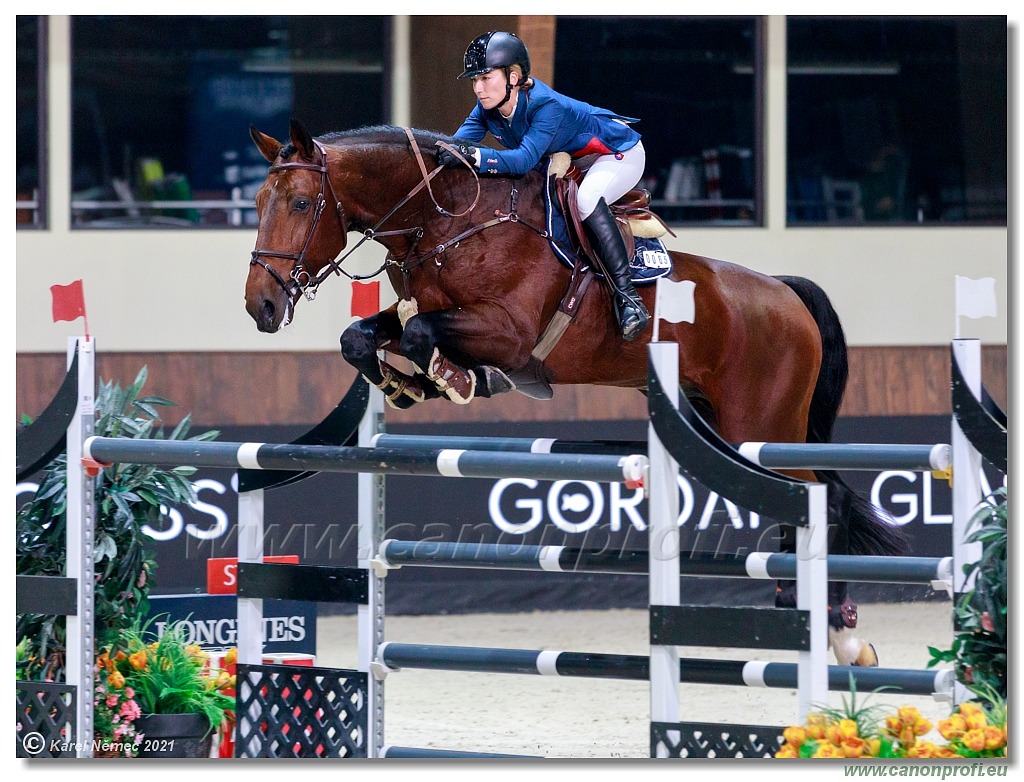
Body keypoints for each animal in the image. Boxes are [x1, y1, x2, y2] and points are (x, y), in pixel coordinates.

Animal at [245, 117, 905, 667]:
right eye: (256, 203)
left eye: (301, 202)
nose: (262, 306)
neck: (447, 220)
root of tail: (787, 293)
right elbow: (362, 336)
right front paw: (407, 382)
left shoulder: (507, 331)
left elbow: (420, 332)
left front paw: (455, 377)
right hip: (723, 425)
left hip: (760, 427)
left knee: (822, 500)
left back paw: (839, 634)